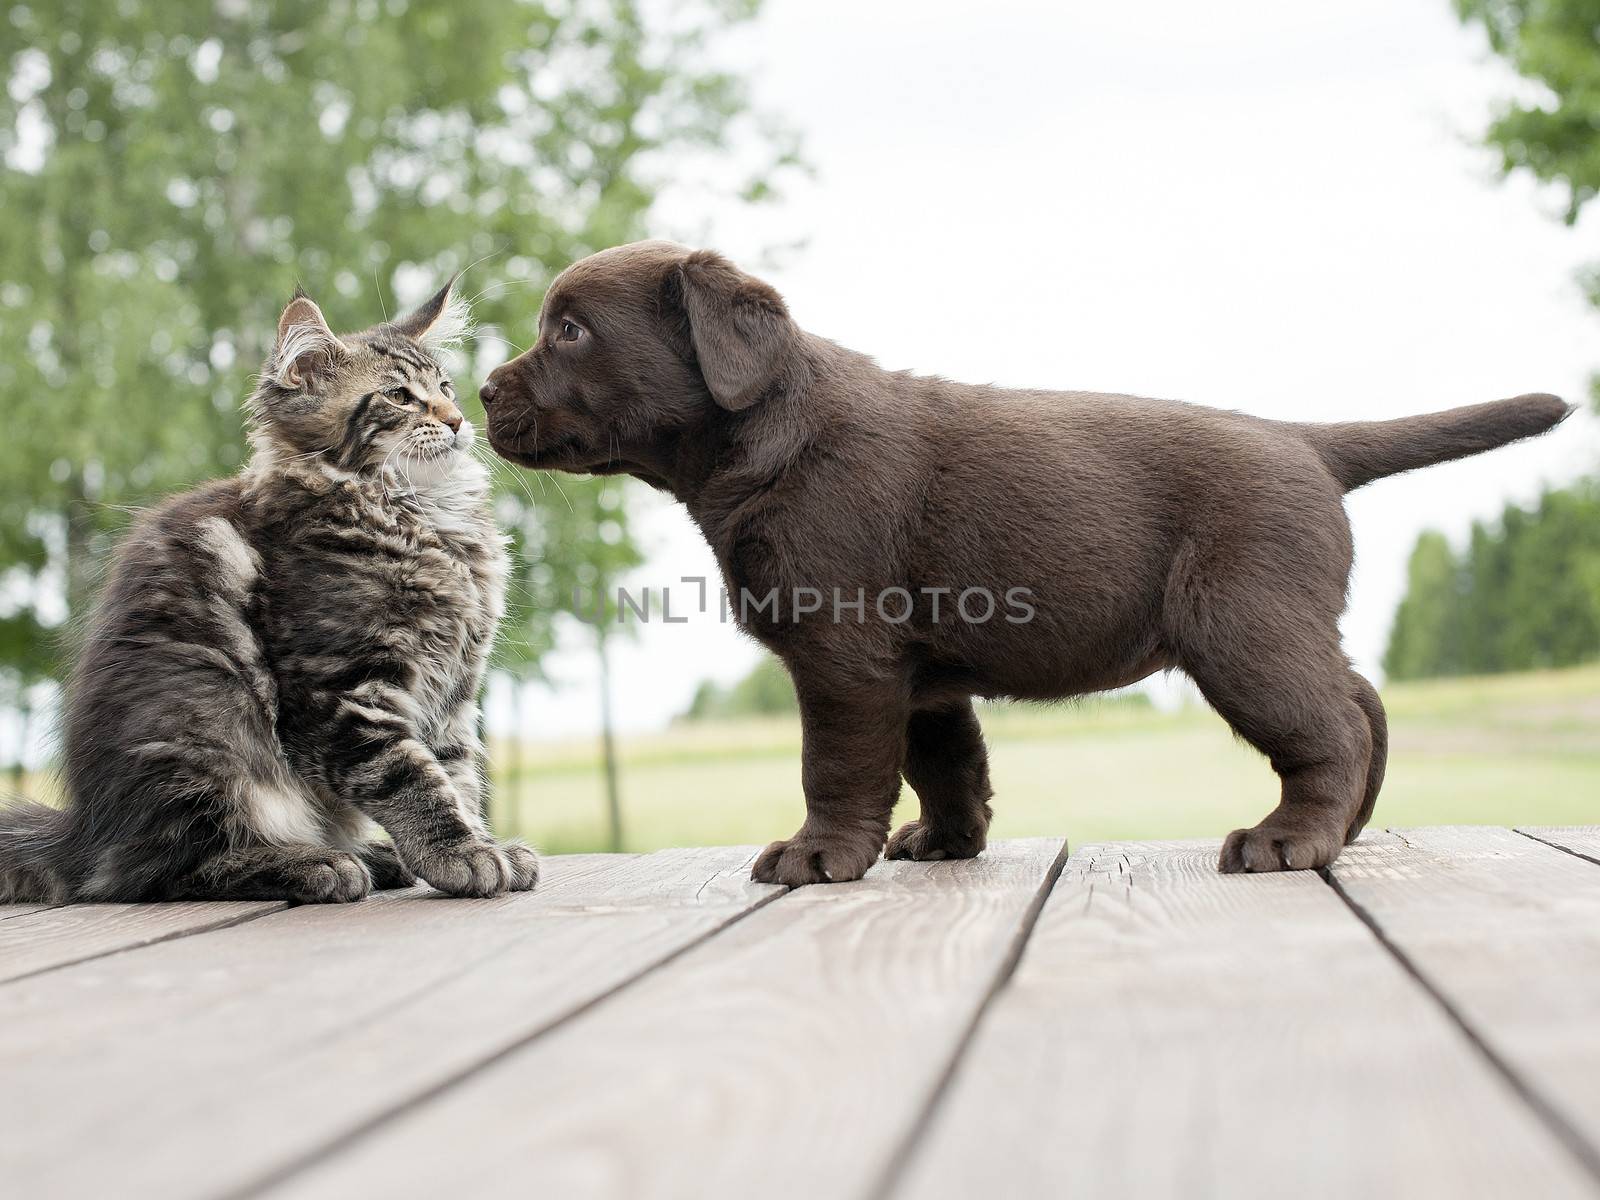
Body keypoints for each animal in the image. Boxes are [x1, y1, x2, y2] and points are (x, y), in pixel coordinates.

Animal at [0, 281, 537, 902]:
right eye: (400, 397)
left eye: (445, 389)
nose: (456, 420)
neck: (422, 518)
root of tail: (85, 836)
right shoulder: (343, 689)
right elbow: (409, 776)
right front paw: (459, 854)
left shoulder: (453, 691)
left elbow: (457, 773)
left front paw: (483, 843)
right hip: (207, 728)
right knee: (165, 872)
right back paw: (314, 864)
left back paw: (372, 856)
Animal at [476, 241, 1574, 883]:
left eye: (569, 330)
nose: (482, 391)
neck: (766, 433)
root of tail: (1303, 441)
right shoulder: (916, 673)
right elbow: (945, 763)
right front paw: (944, 844)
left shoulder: (841, 654)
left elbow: (837, 765)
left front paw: (820, 854)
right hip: (1278, 621)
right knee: (1362, 701)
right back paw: (1346, 830)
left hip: (1241, 627)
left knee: (1332, 724)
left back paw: (1289, 839)